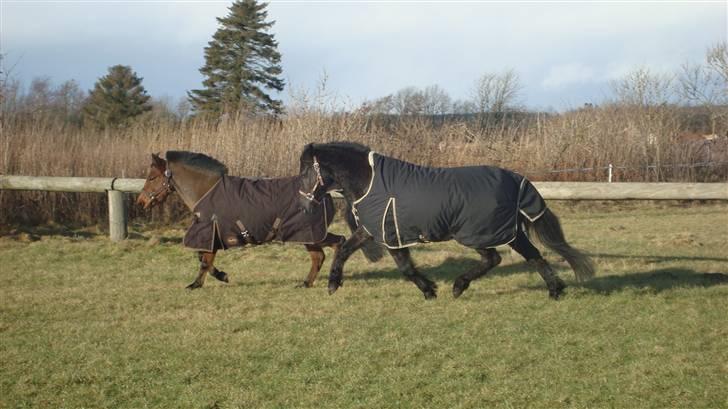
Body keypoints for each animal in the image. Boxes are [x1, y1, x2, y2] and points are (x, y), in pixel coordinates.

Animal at [137, 151, 382, 289]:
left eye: (152, 177)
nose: (141, 201)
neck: (207, 191)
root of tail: (325, 194)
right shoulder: (212, 236)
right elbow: (203, 259)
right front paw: (222, 276)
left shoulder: (210, 233)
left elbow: (204, 261)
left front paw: (197, 284)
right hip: (308, 235)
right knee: (321, 254)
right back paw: (306, 283)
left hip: (308, 233)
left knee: (334, 245)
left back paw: (331, 280)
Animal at [298, 141, 595, 300]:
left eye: (305, 171)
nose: (303, 203)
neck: (369, 181)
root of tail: (515, 179)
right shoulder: (372, 230)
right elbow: (344, 251)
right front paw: (333, 283)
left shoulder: (392, 235)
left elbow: (406, 268)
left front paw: (430, 290)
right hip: (502, 232)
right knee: (526, 256)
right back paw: (554, 289)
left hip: (482, 232)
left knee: (500, 258)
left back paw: (460, 286)